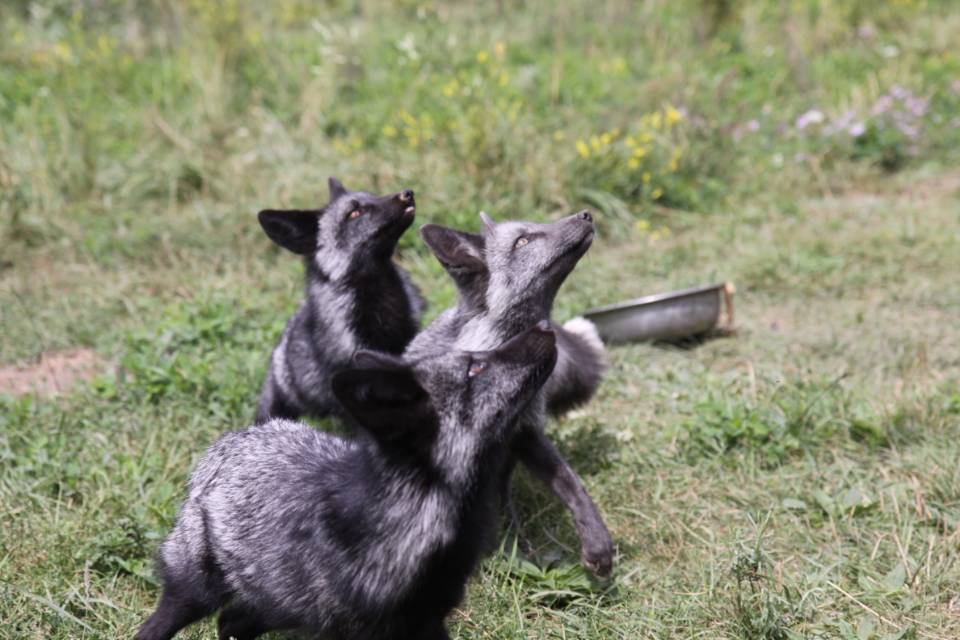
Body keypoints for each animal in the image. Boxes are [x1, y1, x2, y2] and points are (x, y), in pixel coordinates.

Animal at [131, 324, 560, 640]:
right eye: (475, 369)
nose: (545, 327)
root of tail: (234, 440)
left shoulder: (427, 619)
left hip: (281, 606)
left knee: (231, 623)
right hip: (197, 592)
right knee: (161, 627)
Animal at [408, 210, 612, 576]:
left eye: (537, 228)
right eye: (523, 241)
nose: (586, 214)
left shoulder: (525, 431)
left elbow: (572, 484)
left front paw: (597, 543)